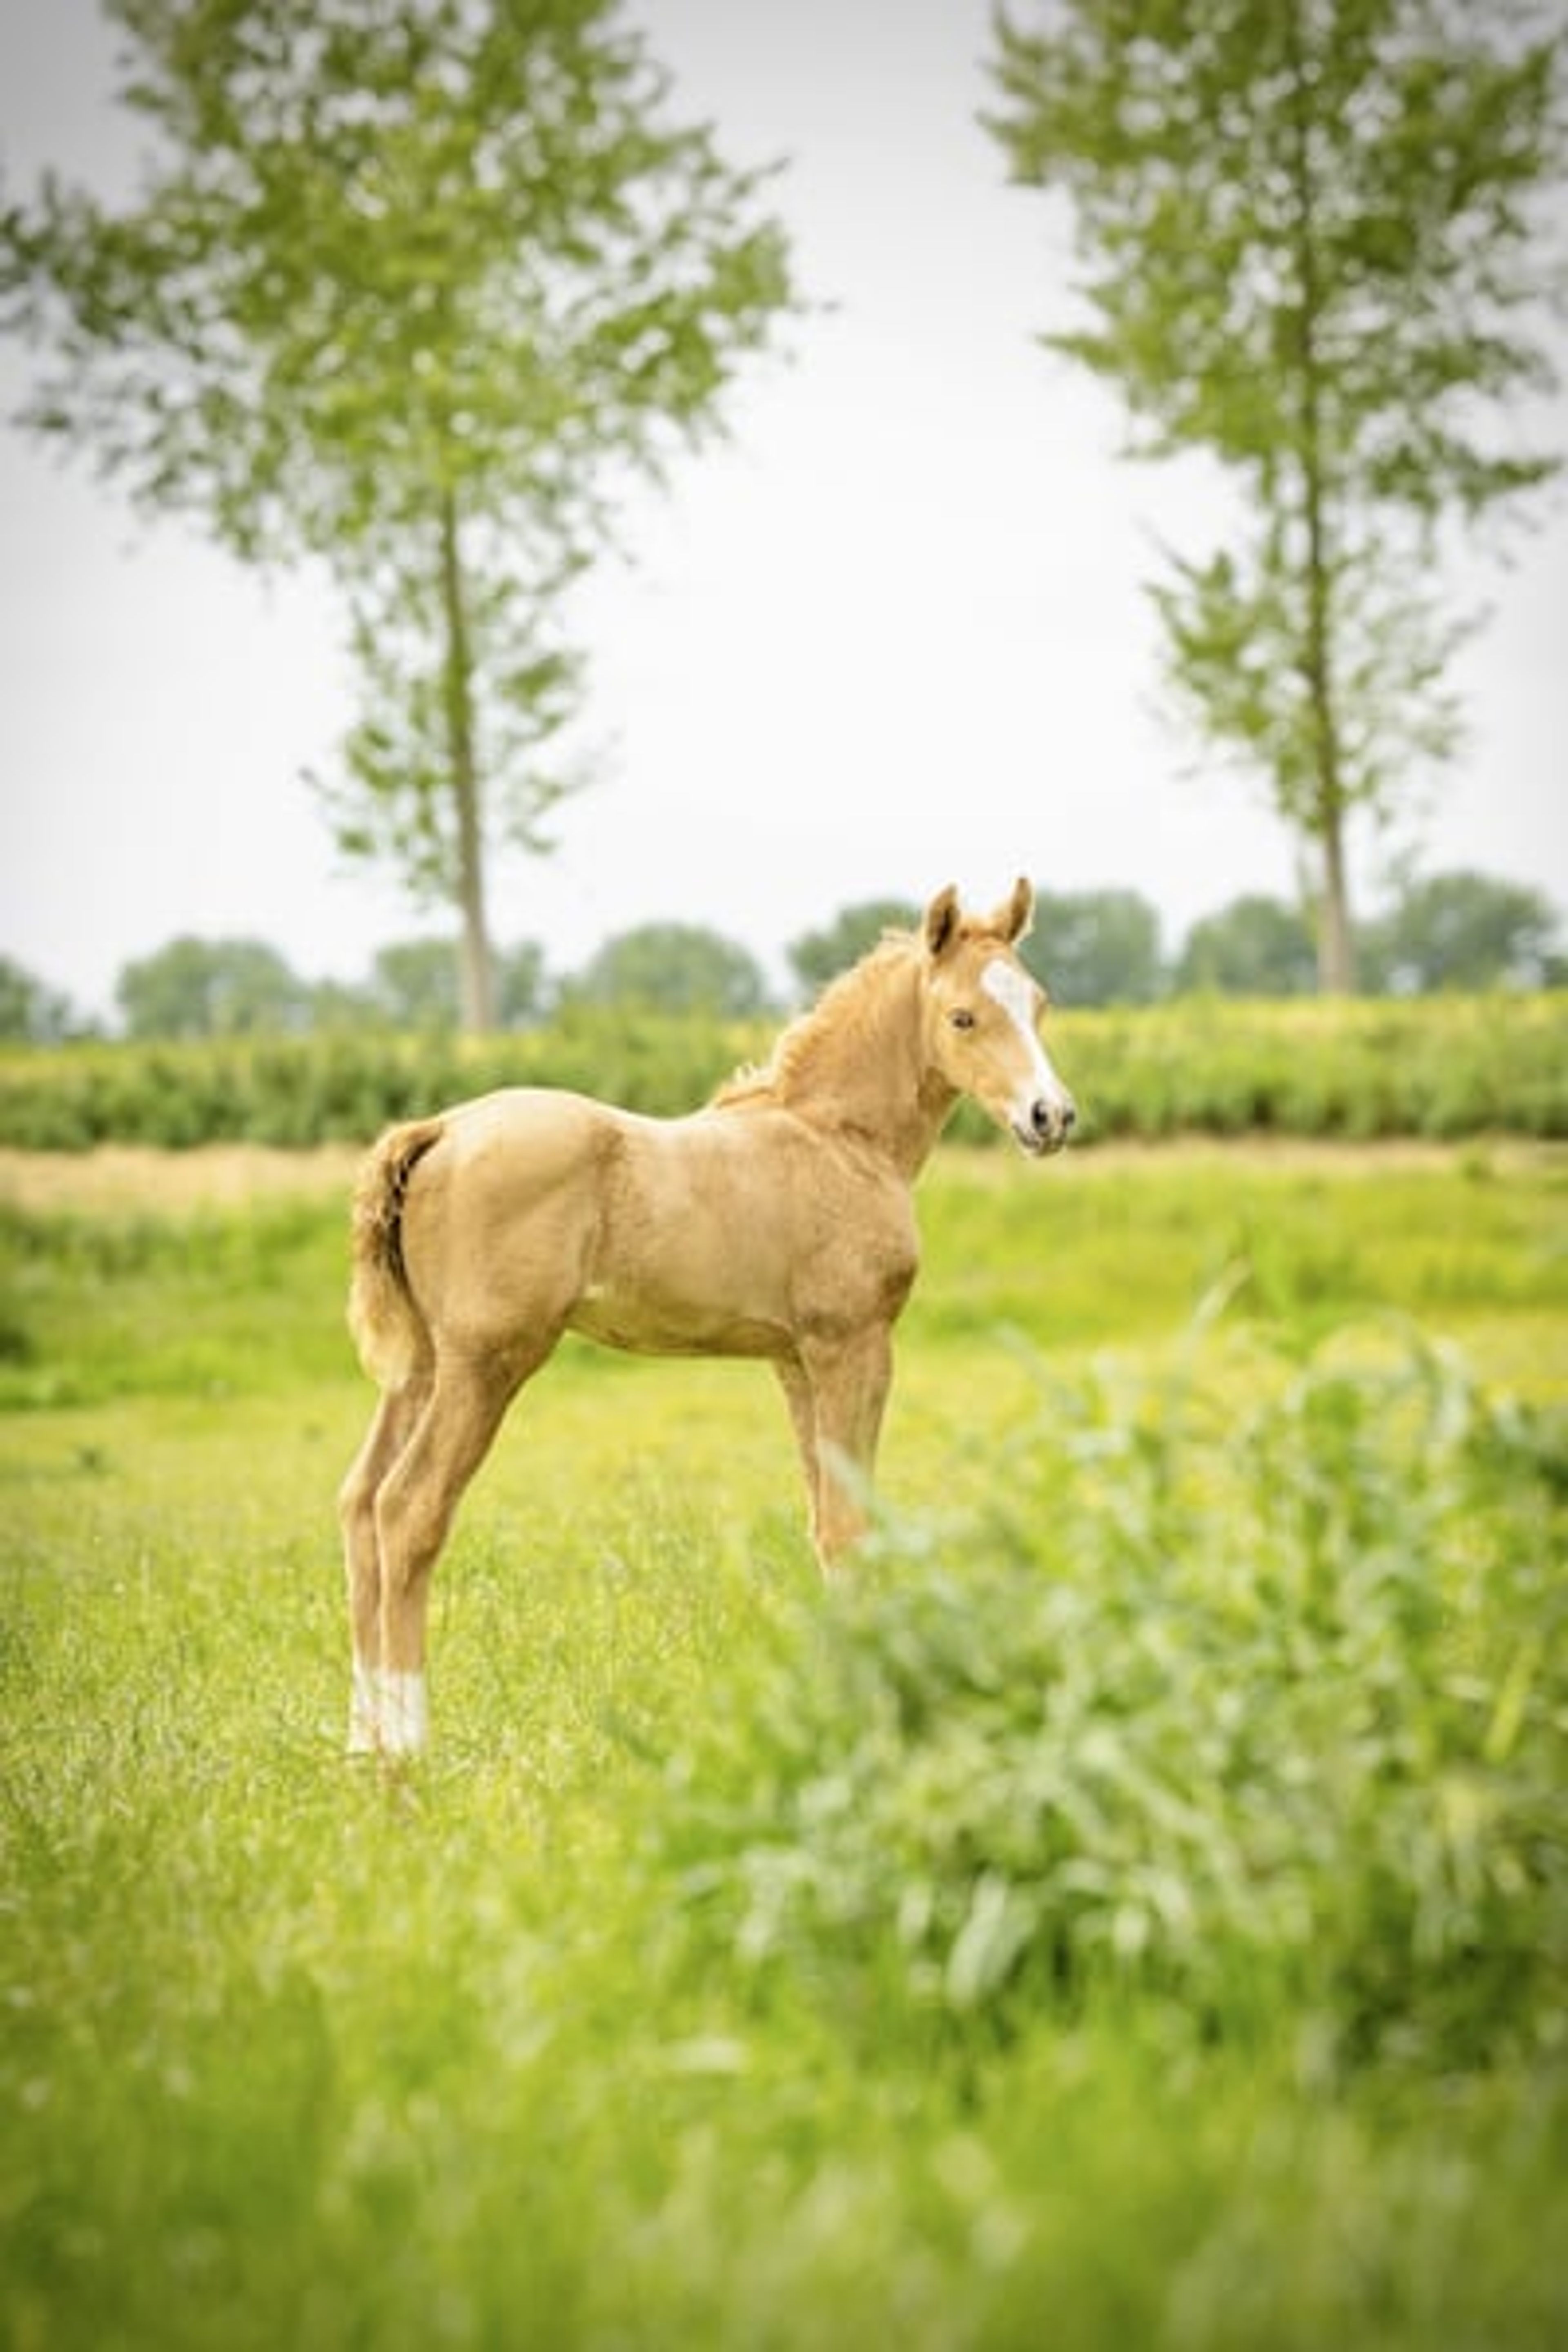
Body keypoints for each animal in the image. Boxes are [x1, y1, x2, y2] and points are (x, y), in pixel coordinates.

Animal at [338, 878, 1076, 1756]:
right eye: (963, 1017)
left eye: (1038, 1003)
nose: (1051, 1117)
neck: (839, 1138)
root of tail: (441, 1130)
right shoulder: (854, 1345)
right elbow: (852, 1526)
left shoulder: (795, 1360)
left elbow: (822, 1521)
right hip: (486, 1365)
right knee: (408, 1510)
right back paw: (408, 1751)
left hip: (419, 1369)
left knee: (359, 1505)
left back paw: (361, 1746)